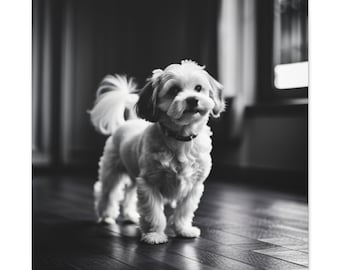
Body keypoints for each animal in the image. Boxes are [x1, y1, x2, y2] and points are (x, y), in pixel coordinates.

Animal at [89, 59, 224, 245]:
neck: (181, 139)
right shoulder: (149, 183)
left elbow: (184, 211)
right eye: (174, 90)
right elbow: (153, 213)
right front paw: (154, 235)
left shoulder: (194, 186)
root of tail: (126, 123)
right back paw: (106, 216)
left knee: (129, 194)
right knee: (107, 193)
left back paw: (130, 216)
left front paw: (184, 230)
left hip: (134, 176)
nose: (192, 100)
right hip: (111, 171)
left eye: (198, 88)